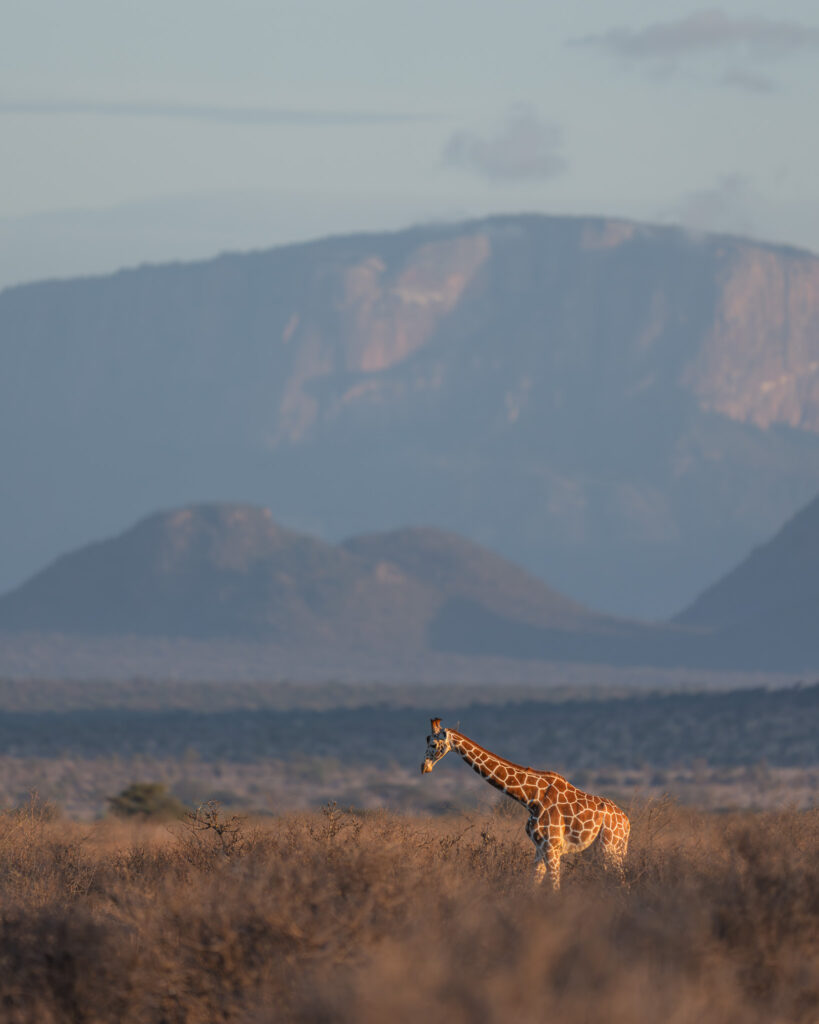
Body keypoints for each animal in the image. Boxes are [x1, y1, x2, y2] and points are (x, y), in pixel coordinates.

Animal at [421, 718, 629, 890]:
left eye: (433, 743)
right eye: (427, 739)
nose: (424, 767)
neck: (530, 798)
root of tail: (626, 822)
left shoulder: (552, 847)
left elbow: (555, 888)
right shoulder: (539, 847)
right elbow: (532, 885)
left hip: (610, 848)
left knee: (621, 882)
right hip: (600, 851)